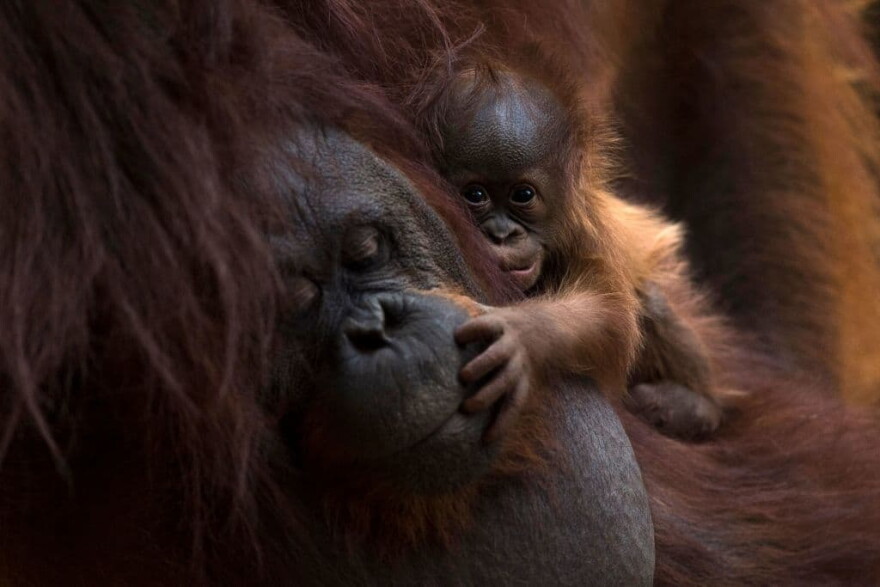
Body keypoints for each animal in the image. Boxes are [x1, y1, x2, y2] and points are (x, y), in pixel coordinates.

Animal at [428, 63, 736, 440]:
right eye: (475, 195)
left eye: (523, 195)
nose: (502, 234)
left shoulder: (589, 236)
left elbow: (606, 309)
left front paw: (520, 335)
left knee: (652, 302)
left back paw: (696, 406)